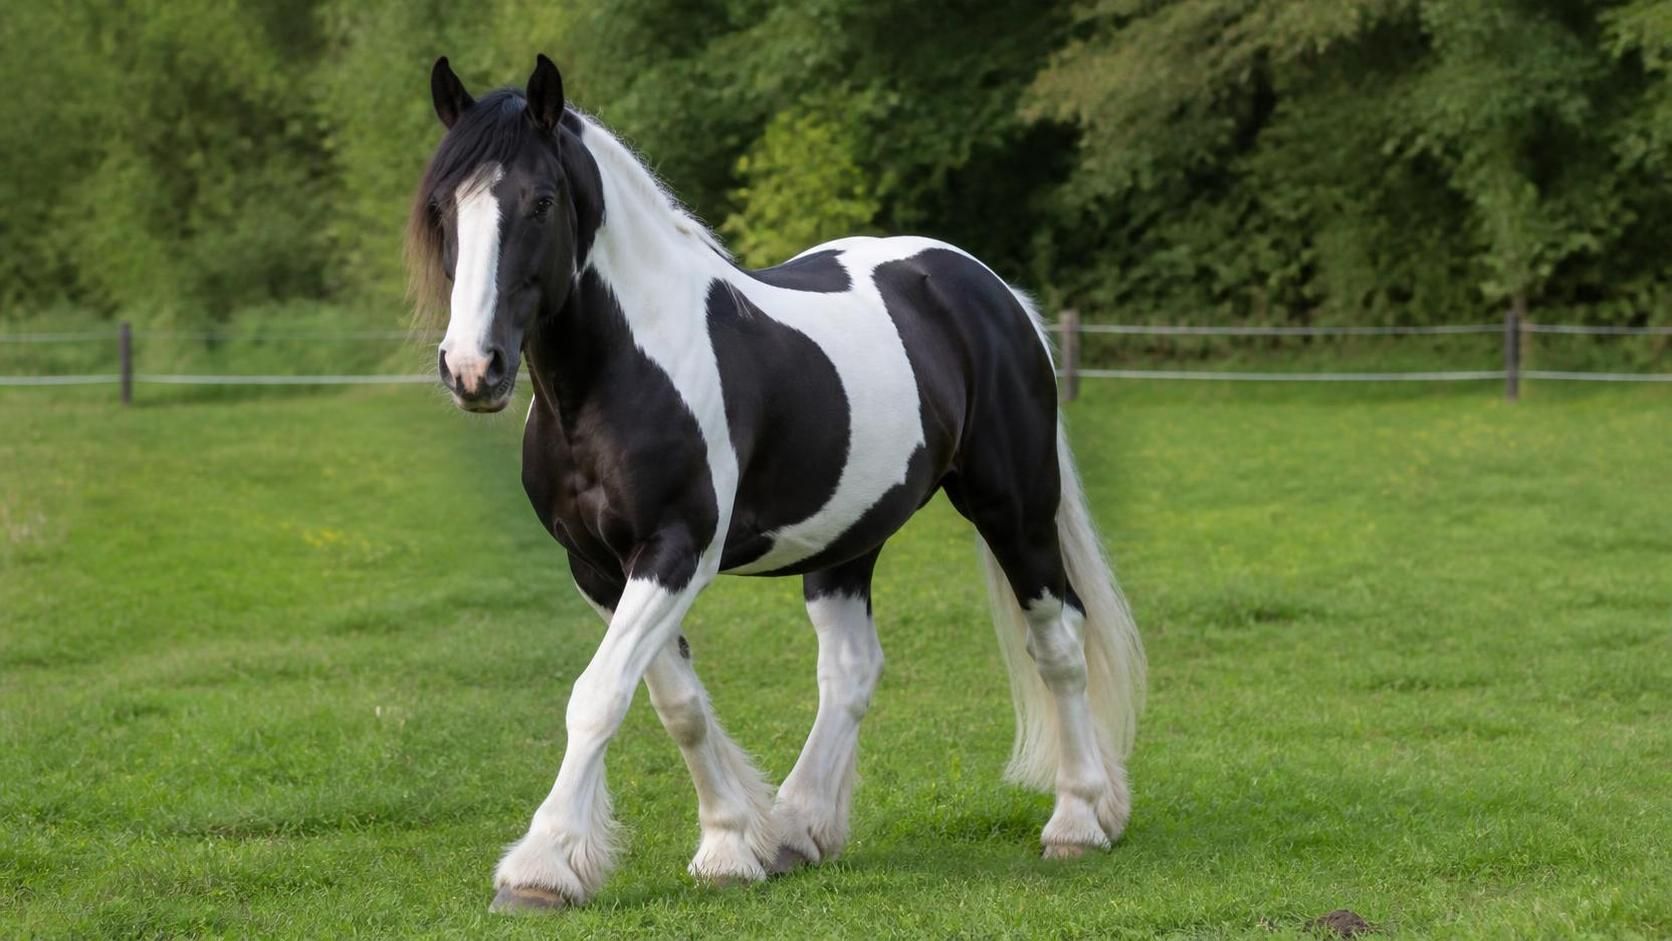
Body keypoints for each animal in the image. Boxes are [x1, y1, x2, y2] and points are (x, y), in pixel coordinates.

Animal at [407, 54, 1146, 912]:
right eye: (442, 207)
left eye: (542, 200)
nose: (473, 369)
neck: (619, 371)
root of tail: (991, 290)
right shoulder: (595, 565)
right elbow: (677, 703)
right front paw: (734, 841)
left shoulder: (676, 549)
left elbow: (597, 697)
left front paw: (543, 865)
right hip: (850, 537)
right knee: (852, 668)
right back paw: (800, 827)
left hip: (1014, 509)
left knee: (1057, 641)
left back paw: (1079, 818)